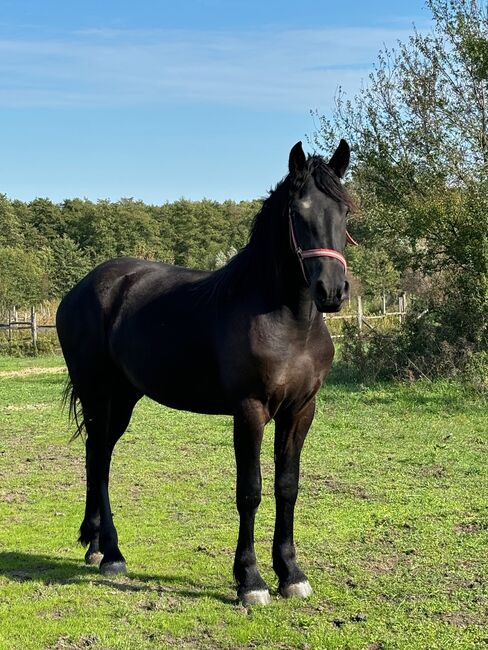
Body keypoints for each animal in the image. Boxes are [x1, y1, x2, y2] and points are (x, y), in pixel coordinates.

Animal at [57, 139, 352, 604]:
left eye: (345, 213)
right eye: (298, 212)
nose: (332, 291)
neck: (290, 320)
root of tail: (82, 288)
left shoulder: (300, 410)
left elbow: (287, 486)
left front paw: (291, 573)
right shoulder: (250, 410)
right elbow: (250, 490)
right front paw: (251, 580)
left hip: (123, 397)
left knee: (95, 454)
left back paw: (95, 545)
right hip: (97, 391)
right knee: (99, 459)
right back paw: (112, 554)